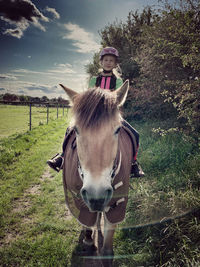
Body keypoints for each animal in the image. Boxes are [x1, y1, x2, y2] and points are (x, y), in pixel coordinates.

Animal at [59, 80, 134, 266]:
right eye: (76, 130)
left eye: (117, 130)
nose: (97, 195)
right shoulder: (80, 200)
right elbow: (86, 220)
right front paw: (88, 239)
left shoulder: (116, 205)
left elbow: (107, 251)